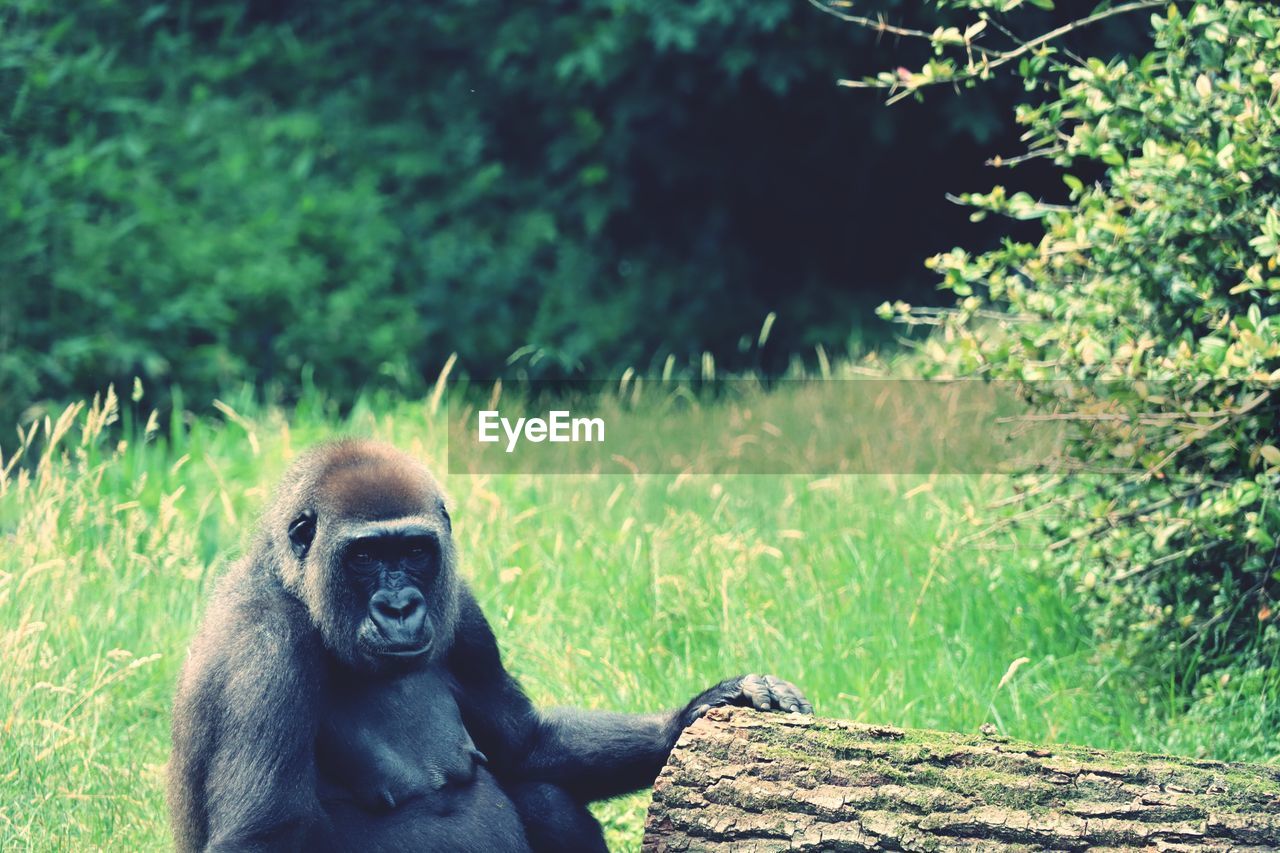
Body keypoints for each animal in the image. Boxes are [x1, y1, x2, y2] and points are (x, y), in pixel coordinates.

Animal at [170, 438, 808, 850]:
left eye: (414, 551)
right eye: (366, 556)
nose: (399, 608)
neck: (295, 587)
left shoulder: (464, 612)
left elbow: (524, 744)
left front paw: (707, 705)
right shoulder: (263, 650)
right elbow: (264, 834)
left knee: (544, 793)